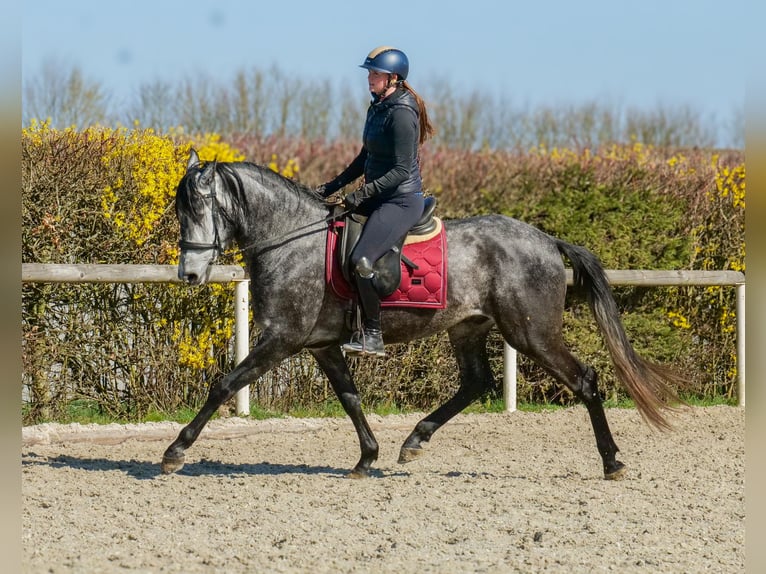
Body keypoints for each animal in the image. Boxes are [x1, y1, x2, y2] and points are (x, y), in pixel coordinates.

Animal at [162, 149, 685, 480]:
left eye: (199, 209)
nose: (189, 274)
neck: (293, 239)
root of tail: (545, 239)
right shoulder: (322, 344)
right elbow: (350, 398)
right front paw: (367, 458)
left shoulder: (282, 339)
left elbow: (225, 384)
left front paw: (175, 451)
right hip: (468, 328)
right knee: (476, 383)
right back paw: (414, 440)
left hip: (531, 333)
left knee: (585, 380)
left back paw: (612, 462)